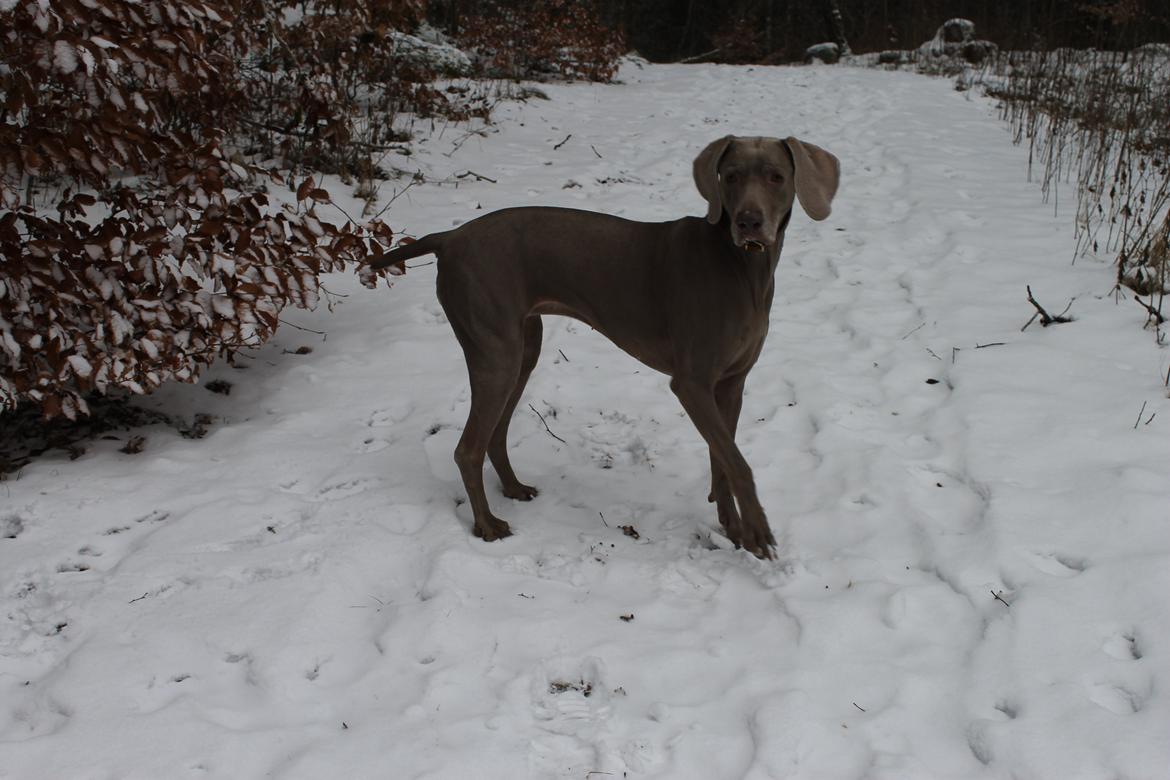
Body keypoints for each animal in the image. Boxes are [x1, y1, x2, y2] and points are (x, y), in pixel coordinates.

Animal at [369, 135, 837, 561]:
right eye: (732, 176)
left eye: (776, 177)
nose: (748, 222)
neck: (743, 267)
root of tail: (450, 237)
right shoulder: (692, 384)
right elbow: (738, 462)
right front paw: (756, 531)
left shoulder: (732, 385)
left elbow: (722, 459)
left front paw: (734, 529)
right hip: (496, 352)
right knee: (467, 448)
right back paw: (487, 525)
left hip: (523, 349)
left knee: (495, 433)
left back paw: (514, 488)